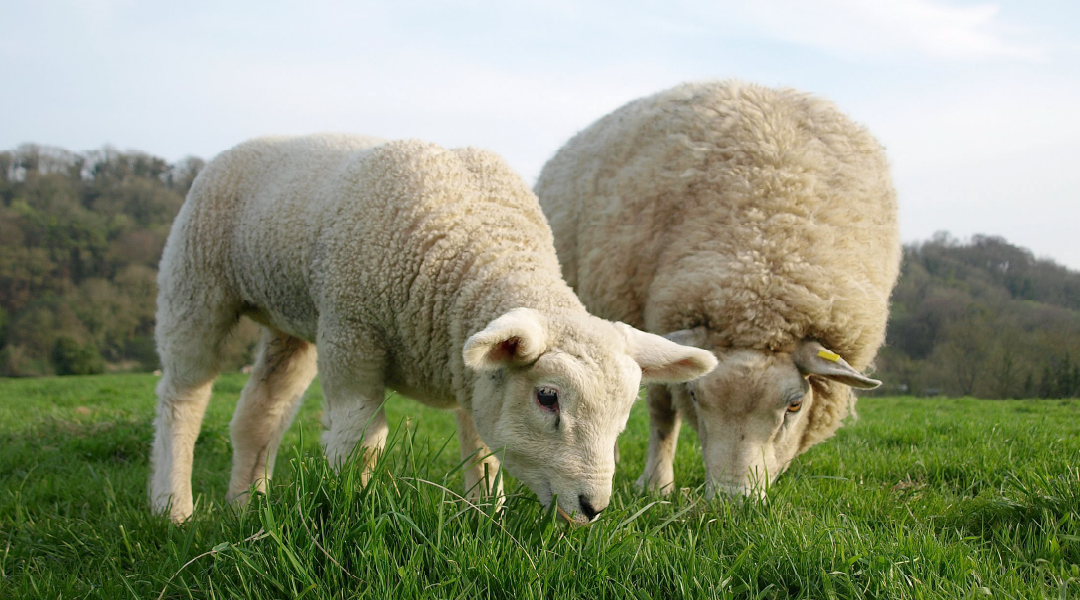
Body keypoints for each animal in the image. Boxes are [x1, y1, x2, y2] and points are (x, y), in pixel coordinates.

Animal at [147, 133, 712, 522]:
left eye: (625, 412)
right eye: (547, 397)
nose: (592, 507)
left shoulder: (471, 367)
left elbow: (482, 454)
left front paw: (487, 518)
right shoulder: (351, 335)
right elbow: (361, 439)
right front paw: (351, 511)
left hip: (290, 322)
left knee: (259, 414)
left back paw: (246, 506)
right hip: (195, 282)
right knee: (182, 398)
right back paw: (172, 507)